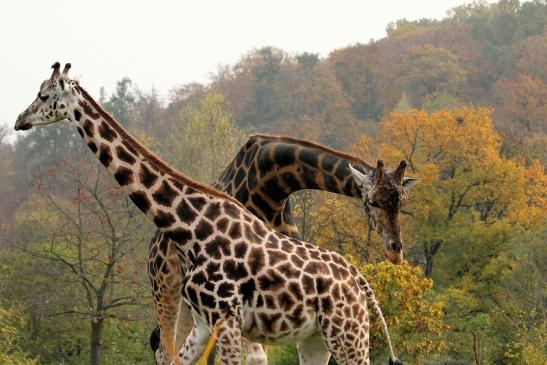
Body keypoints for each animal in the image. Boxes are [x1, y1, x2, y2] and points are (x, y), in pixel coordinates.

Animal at [148, 132, 418, 362]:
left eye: (403, 202)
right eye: (372, 201)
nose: (395, 251)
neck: (272, 187)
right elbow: (257, 356)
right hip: (165, 288)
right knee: (164, 350)